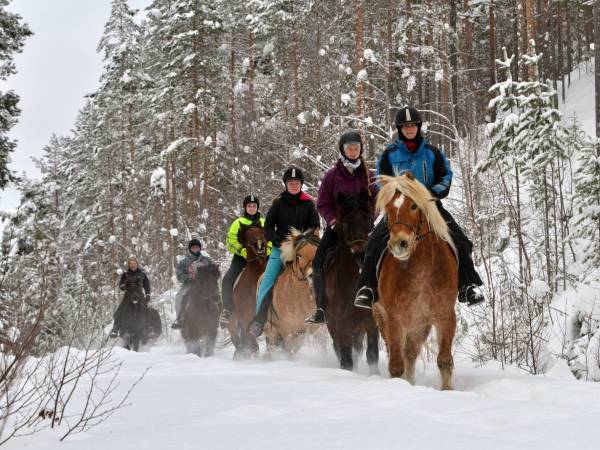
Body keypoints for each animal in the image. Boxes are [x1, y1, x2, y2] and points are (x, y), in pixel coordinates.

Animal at [229, 224, 268, 358]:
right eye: (248, 235)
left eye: (262, 232)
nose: (260, 245)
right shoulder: (245, 320)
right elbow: (252, 346)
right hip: (233, 323)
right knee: (237, 341)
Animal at [324, 190, 380, 372]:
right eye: (346, 223)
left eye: (368, 220)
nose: (361, 254)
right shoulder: (342, 324)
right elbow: (346, 358)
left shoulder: (371, 323)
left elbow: (372, 355)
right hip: (332, 324)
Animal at [372, 172, 458, 390]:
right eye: (388, 209)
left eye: (413, 206)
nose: (399, 244)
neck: (422, 271)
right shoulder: (394, 319)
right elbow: (395, 365)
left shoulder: (445, 316)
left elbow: (444, 360)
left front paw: (447, 391)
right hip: (384, 318)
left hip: (420, 325)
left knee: (410, 353)